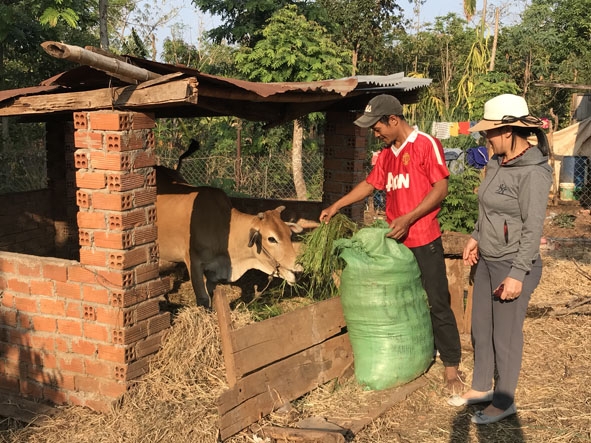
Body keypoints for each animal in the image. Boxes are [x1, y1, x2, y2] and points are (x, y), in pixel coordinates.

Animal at [156, 168, 306, 310]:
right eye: (271, 239)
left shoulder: (214, 272)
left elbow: (212, 294)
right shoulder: (194, 264)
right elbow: (203, 299)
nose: (298, 272)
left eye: (289, 235)